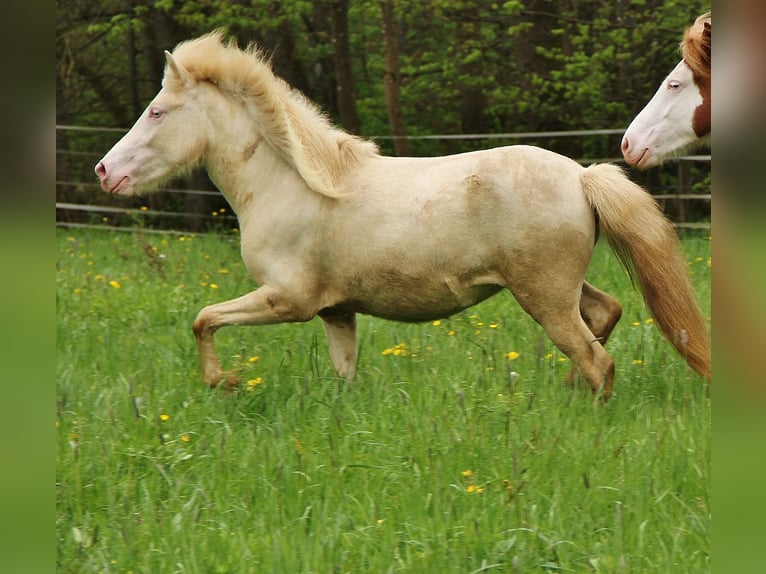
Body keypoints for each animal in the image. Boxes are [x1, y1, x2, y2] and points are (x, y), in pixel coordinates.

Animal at [96, 31, 712, 400]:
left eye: (157, 112)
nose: (105, 171)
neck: (289, 184)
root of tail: (581, 176)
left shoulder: (287, 301)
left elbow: (203, 318)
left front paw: (221, 382)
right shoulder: (336, 313)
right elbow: (344, 375)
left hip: (543, 296)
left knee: (596, 358)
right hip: (558, 290)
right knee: (605, 315)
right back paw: (567, 388)